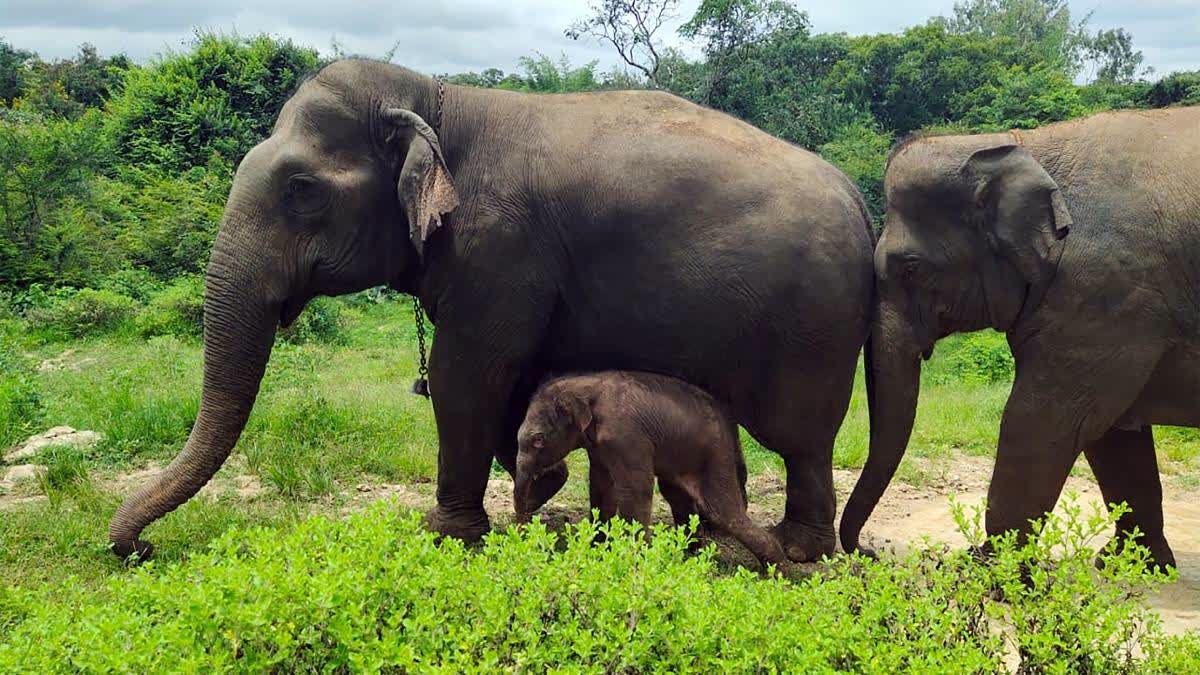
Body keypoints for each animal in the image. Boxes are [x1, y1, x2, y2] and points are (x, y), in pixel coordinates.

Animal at [513, 367, 787, 566]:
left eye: (538, 440)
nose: (524, 535)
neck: (583, 385)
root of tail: (730, 422)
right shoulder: (600, 447)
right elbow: (601, 485)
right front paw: (598, 549)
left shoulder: (627, 436)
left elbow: (636, 488)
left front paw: (635, 556)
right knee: (679, 498)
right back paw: (690, 555)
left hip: (715, 456)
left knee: (723, 511)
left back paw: (777, 572)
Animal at [844, 106, 1200, 566]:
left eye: (910, 268)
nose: (869, 550)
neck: (1023, 143)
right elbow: (1111, 436)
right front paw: (1133, 565)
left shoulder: (1107, 295)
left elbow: (1042, 420)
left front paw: (987, 567)